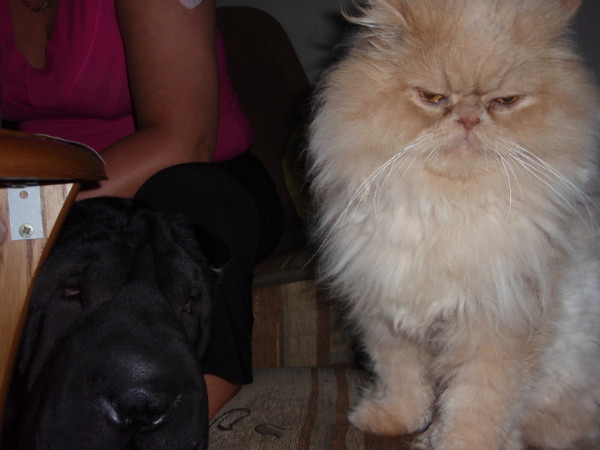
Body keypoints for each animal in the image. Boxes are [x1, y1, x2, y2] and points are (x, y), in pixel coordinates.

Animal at [307, 1, 600, 449]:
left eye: (504, 101)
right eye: (432, 98)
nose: (468, 119)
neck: (443, 209)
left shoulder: (495, 327)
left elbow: (477, 405)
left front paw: (452, 441)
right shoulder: (385, 316)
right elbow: (402, 379)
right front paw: (392, 420)